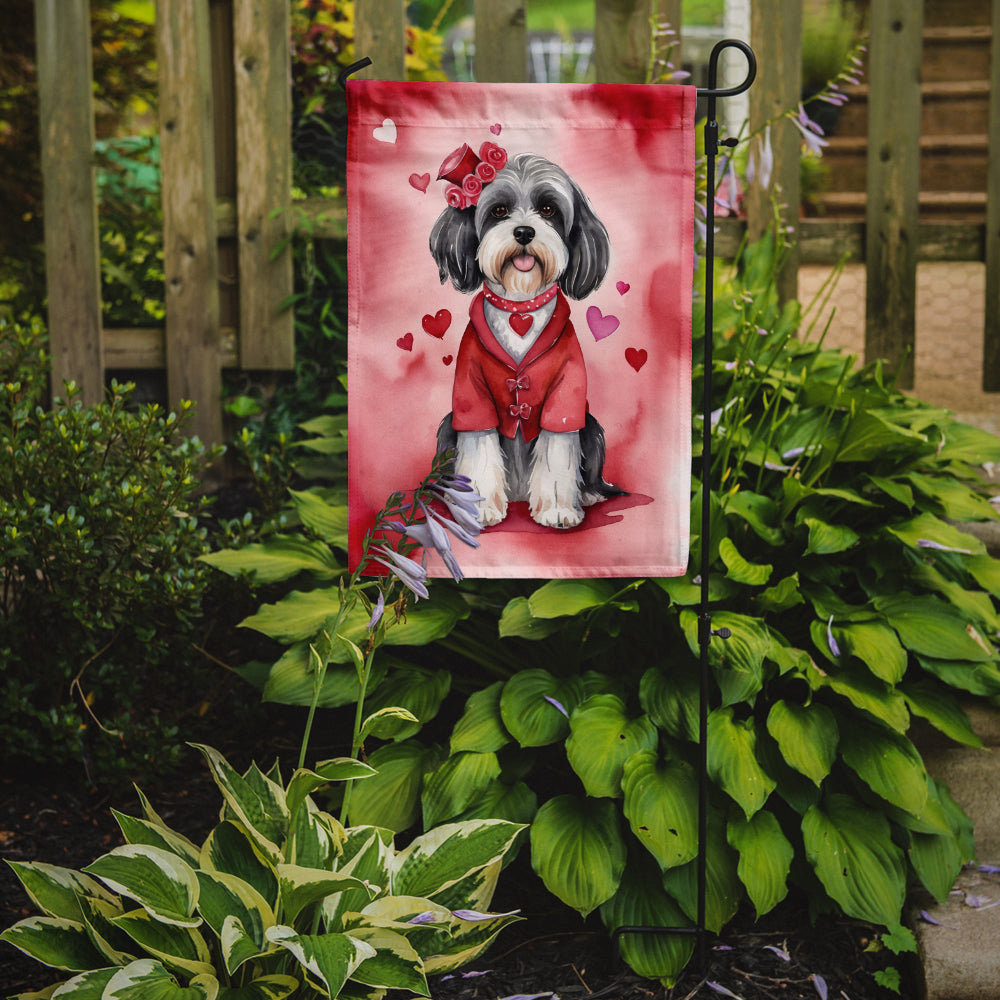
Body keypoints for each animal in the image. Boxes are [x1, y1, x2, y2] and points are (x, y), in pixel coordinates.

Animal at [430, 148, 624, 528]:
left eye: (548, 209)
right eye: (498, 210)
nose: (523, 231)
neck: (520, 307)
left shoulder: (566, 395)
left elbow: (557, 452)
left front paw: (558, 510)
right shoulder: (471, 395)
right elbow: (479, 448)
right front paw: (480, 508)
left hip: (592, 426)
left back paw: (588, 494)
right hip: (447, 425)